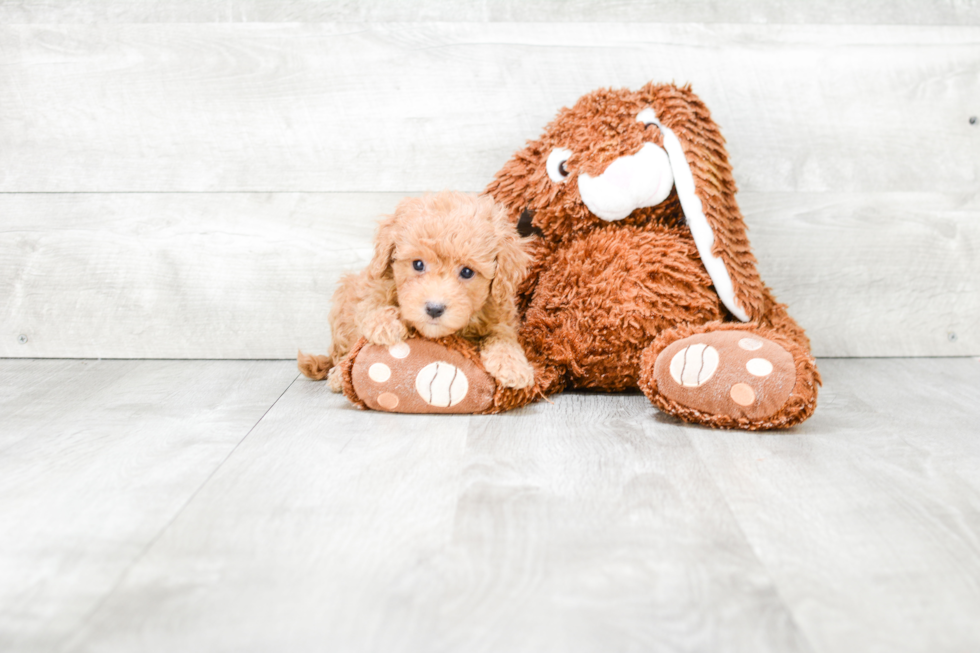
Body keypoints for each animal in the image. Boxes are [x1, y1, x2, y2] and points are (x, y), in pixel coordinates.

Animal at [298, 188, 536, 392]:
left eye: (467, 272)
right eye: (418, 264)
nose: (434, 308)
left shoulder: (501, 314)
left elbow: (502, 338)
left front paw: (512, 366)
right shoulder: (371, 289)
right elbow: (371, 308)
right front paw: (385, 323)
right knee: (341, 353)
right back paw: (339, 375)